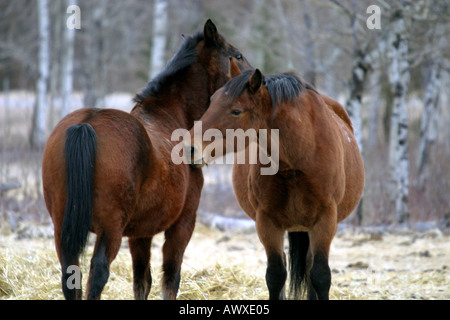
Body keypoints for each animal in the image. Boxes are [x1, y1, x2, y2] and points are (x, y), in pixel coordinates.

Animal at [41, 20, 253, 300]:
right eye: (237, 55)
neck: (171, 116)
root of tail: (87, 123)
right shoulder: (182, 225)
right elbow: (170, 279)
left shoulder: (140, 234)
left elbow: (142, 281)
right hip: (110, 230)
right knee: (98, 273)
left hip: (62, 229)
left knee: (71, 275)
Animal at [186, 65, 366, 300]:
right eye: (211, 102)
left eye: (236, 111)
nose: (188, 148)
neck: (300, 154)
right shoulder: (267, 222)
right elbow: (276, 275)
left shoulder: (326, 220)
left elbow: (320, 275)